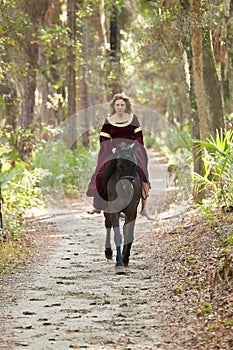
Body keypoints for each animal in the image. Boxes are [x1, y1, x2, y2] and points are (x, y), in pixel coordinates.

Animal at [99, 142, 140, 274]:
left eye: (134, 165)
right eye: (120, 166)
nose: (129, 191)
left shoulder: (132, 212)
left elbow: (128, 234)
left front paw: (125, 258)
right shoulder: (114, 211)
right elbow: (118, 236)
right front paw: (119, 264)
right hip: (107, 210)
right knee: (107, 224)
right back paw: (108, 252)